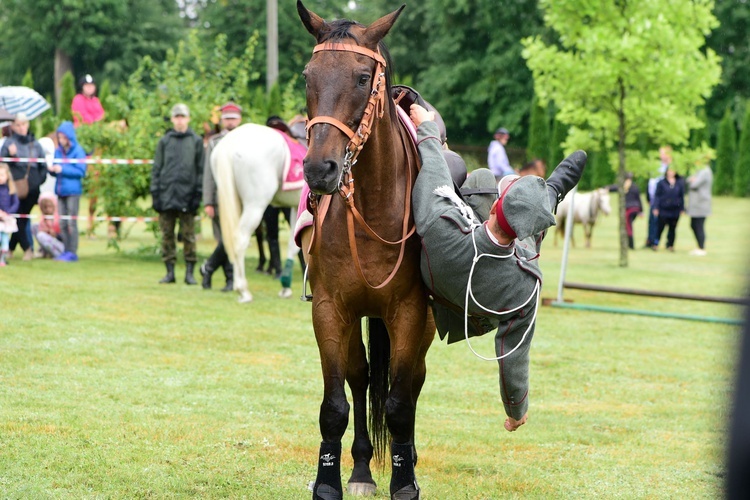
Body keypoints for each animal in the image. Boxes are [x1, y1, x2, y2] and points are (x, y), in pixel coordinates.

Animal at [212, 123, 302, 302]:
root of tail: (231, 142)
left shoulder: (296, 207)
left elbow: (293, 245)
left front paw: (286, 287)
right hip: (255, 206)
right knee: (240, 239)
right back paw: (243, 290)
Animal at [296, 1, 434, 498]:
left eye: (360, 78)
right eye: (308, 76)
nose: (319, 169)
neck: (373, 206)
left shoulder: (410, 311)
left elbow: (398, 402)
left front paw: (404, 481)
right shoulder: (330, 308)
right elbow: (336, 403)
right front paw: (329, 481)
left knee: (410, 383)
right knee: (361, 376)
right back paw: (359, 468)